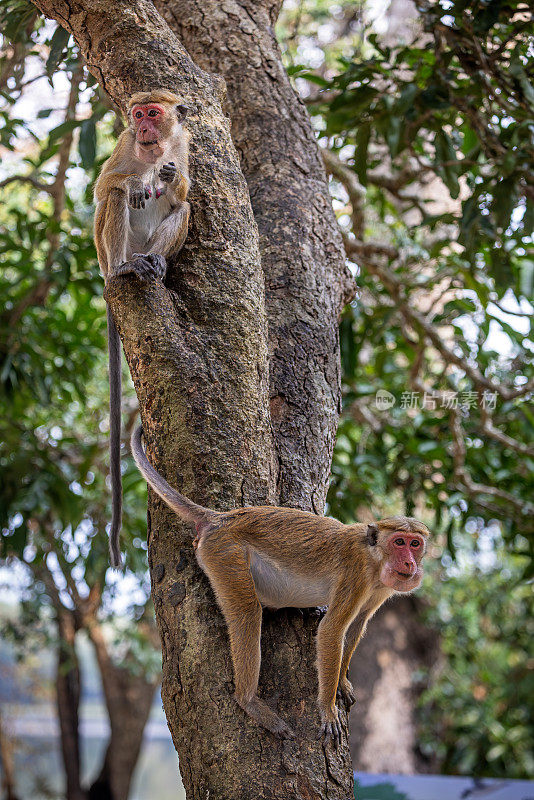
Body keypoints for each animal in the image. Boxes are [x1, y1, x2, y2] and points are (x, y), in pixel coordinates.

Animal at [131, 424, 432, 744]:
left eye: (415, 544)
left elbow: (357, 625)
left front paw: (341, 681)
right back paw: (248, 700)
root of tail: (218, 519)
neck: (375, 559)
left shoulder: (380, 589)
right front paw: (327, 709)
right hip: (225, 553)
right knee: (247, 612)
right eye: (399, 542)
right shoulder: (357, 575)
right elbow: (331, 631)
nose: (410, 564)